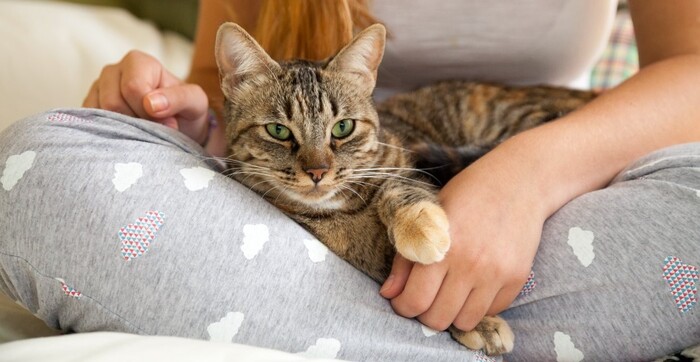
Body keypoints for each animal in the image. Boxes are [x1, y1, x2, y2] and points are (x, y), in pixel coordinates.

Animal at [215, 22, 596, 356]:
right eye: (278, 131)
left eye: (342, 128)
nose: (318, 171)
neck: (341, 210)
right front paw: (479, 323)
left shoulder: (407, 161)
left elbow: (398, 185)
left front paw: (418, 227)